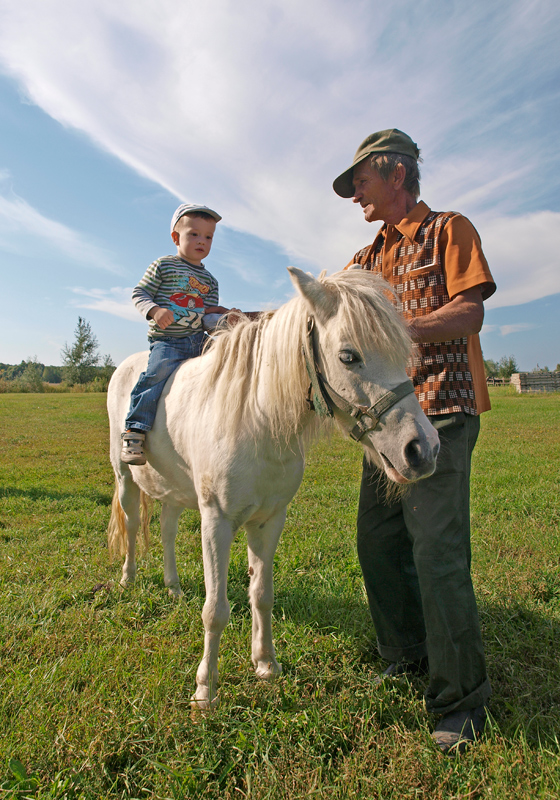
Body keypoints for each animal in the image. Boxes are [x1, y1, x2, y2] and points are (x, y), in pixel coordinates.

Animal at [107, 268, 440, 708]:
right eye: (348, 356)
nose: (423, 449)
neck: (256, 418)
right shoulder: (216, 522)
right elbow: (215, 610)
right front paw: (205, 690)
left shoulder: (269, 521)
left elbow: (261, 594)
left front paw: (265, 664)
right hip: (125, 478)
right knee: (131, 525)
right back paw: (128, 579)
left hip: (176, 492)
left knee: (167, 531)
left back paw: (174, 587)